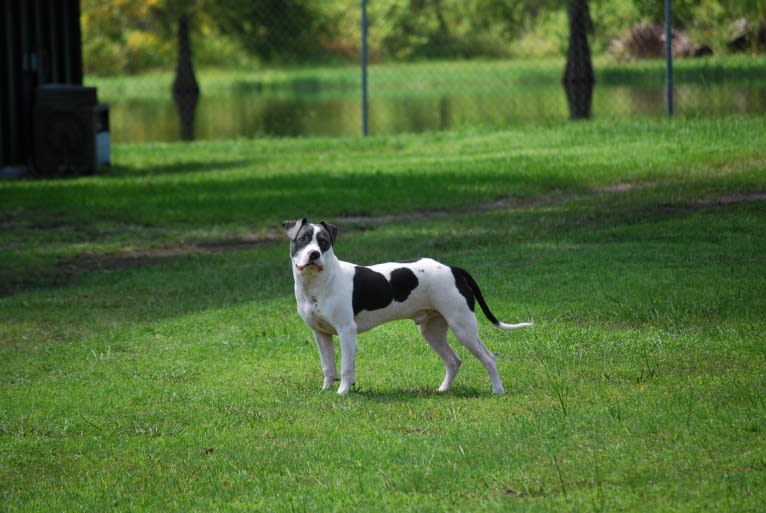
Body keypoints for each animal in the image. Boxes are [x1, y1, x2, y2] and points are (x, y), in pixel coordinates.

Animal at [284, 218, 536, 394]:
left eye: (324, 242)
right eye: (303, 239)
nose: (314, 254)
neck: (318, 283)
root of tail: (454, 269)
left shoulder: (347, 332)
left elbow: (346, 368)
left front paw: (342, 392)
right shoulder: (321, 334)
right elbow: (328, 367)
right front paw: (326, 390)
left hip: (463, 328)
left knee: (489, 358)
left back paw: (498, 391)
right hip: (432, 331)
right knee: (454, 360)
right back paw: (443, 390)